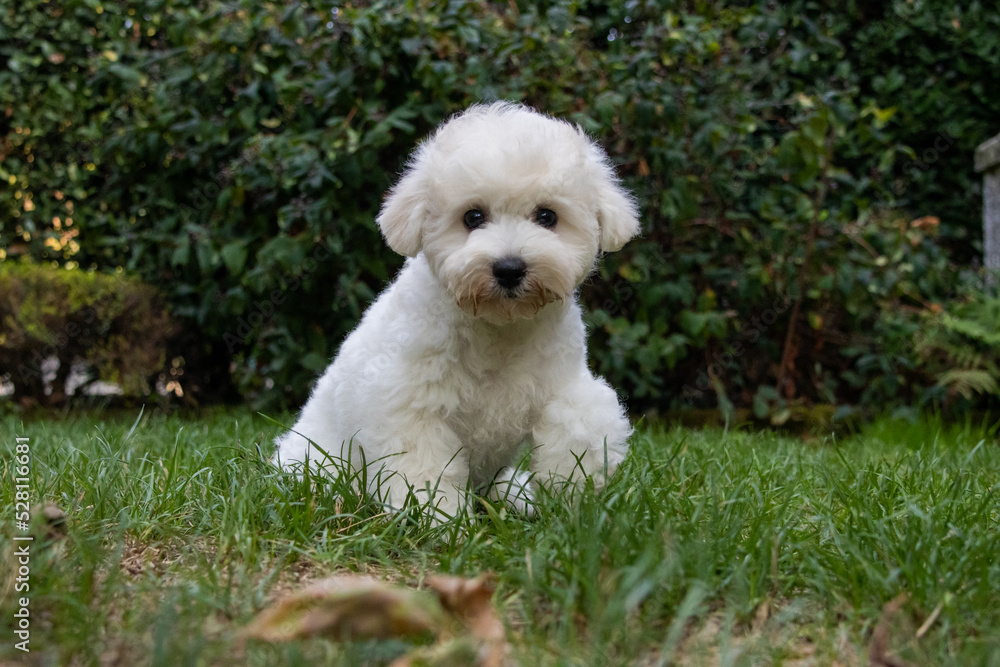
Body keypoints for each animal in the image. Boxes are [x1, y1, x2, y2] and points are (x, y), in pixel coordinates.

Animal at [278, 103, 640, 520]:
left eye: (547, 216)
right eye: (473, 217)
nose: (510, 268)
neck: (499, 327)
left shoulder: (565, 384)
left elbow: (579, 423)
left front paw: (573, 496)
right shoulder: (411, 405)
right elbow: (424, 467)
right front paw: (439, 518)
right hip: (314, 461)